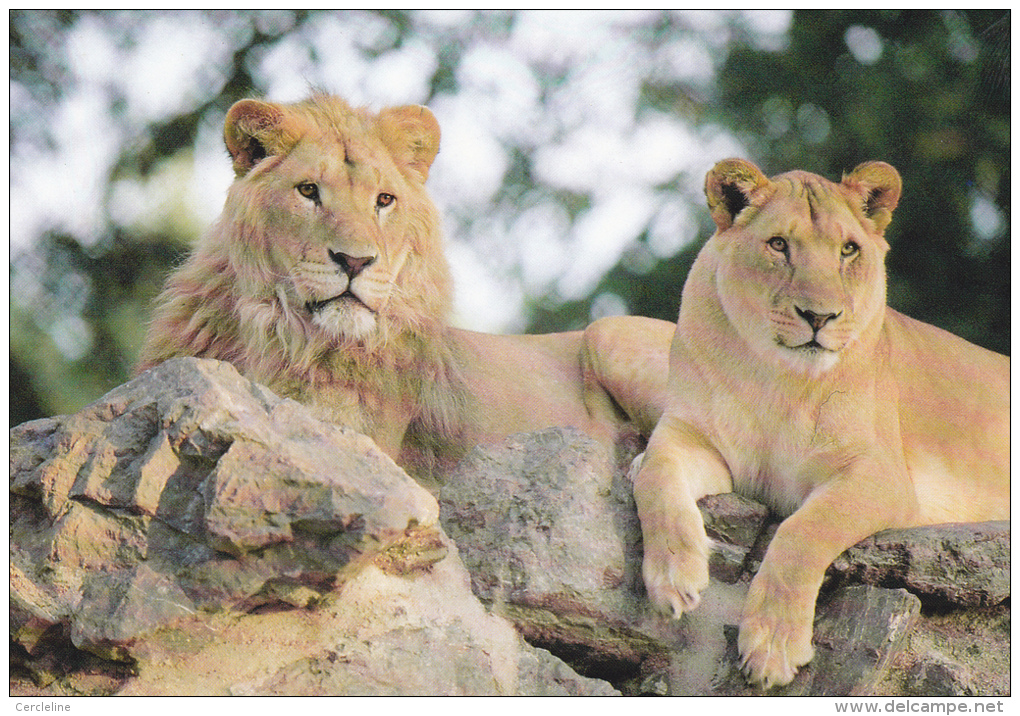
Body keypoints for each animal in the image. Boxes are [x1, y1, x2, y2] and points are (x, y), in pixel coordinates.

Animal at [636, 158, 1011, 689]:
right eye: (778, 245)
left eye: (848, 249)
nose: (819, 316)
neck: (779, 380)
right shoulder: (693, 435)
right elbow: (655, 475)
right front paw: (674, 577)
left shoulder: (880, 475)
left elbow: (803, 531)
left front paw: (773, 645)